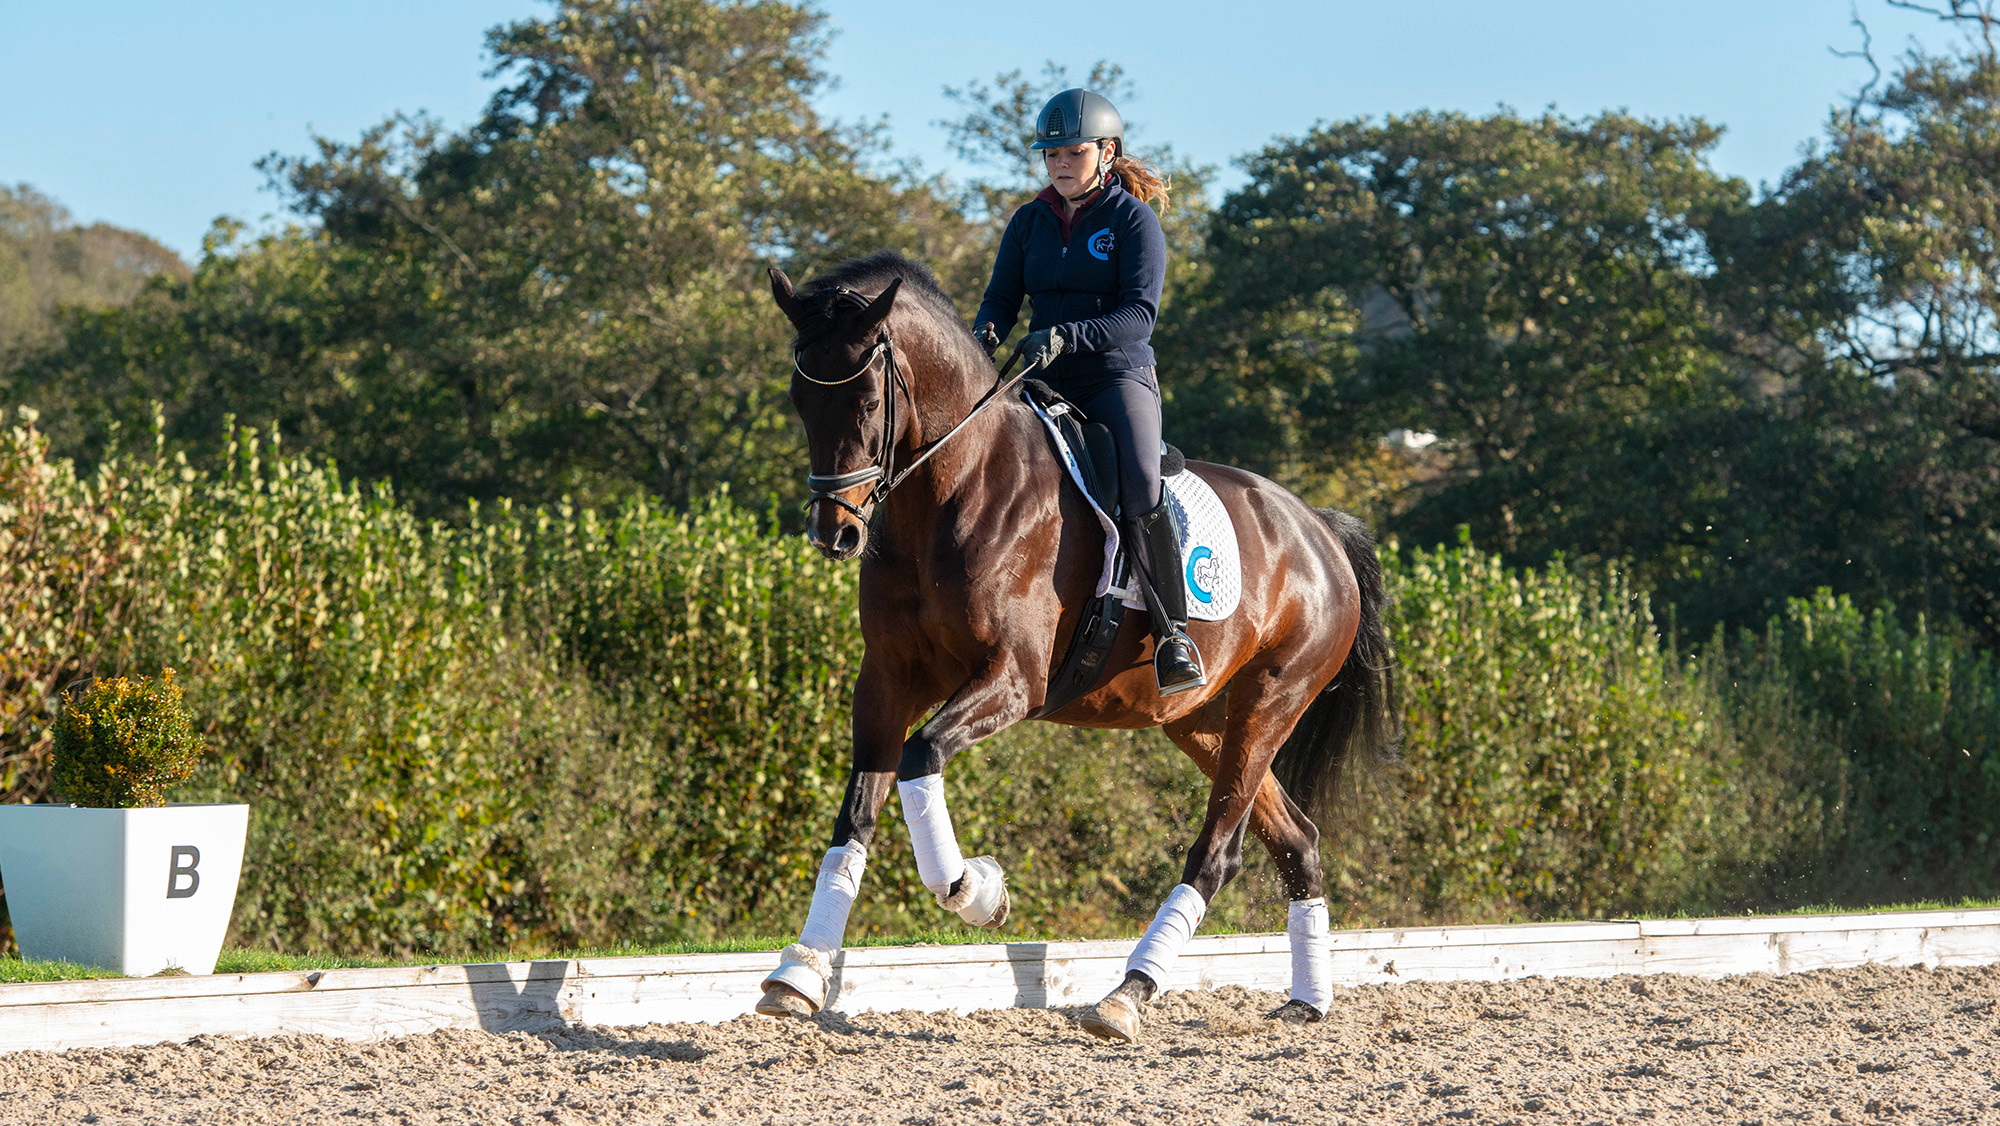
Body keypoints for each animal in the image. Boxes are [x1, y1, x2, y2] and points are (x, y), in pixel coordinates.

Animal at [758, 251, 1396, 1041]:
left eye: (871, 402)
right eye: (799, 401)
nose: (835, 533)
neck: (949, 493)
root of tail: (1317, 529)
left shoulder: (1013, 679)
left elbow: (921, 756)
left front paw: (978, 890)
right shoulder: (885, 682)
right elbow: (857, 816)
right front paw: (799, 974)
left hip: (1272, 703)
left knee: (1218, 852)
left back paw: (1128, 994)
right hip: (1202, 722)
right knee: (1297, 840)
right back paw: (1308, 1000)